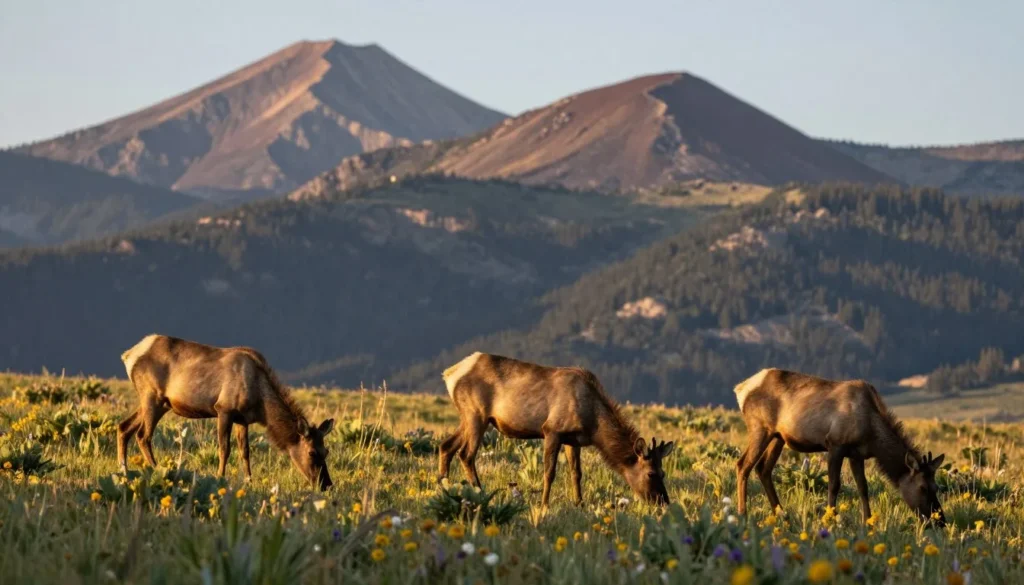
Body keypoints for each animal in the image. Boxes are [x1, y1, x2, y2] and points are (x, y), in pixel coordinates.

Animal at [117, 334, 335, 490]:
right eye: (312, 452)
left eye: (326, 451)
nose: (327, 485)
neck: (260, 404)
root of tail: (127, 355)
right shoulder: (224, 409)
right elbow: (224, 449)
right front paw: (220, 478)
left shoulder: (243, 419)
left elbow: (245, 451)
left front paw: (249, 481)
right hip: (152, 397)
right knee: (143, 435)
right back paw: (159, 470)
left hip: (159, 403)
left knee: (123, 427)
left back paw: (124, 471)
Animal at [437, 352, 675, 507]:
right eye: (651, 473)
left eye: (664, 472)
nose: (663, 501)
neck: (593, 422)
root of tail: (449, 374)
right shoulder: (552, 430)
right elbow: (549, 472)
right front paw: (544, 505)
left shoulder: (574, 440)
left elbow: (576, 473)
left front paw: (579, 503)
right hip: (476, 414)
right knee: (466, 454)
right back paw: (480, 492)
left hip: (469, 417)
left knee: (446, 446)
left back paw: (444, 488)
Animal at [733, 368, 946, 526]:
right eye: (922, 488)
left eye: (936, 487)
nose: (940, 521)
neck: (871, 432)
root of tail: (740, 389)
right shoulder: (835, 444)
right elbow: (834, 485)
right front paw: (831, 519)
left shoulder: (857, 454)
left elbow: (863, 487)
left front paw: (868, 521)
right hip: (760, 428)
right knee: (743, 464)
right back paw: (743, 514)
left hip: (778, 436)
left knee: (763, 468)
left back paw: (781, 514)